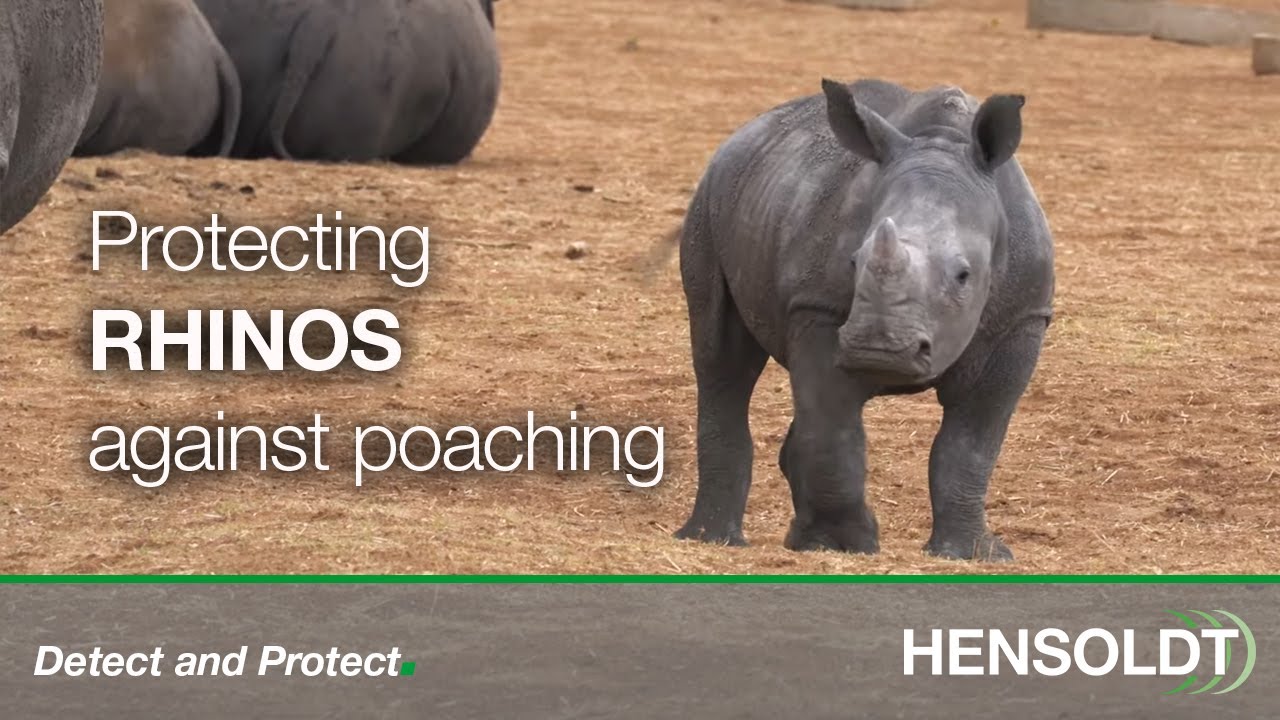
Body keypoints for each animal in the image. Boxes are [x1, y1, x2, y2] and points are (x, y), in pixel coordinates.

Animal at [673, 78, 1054, 561]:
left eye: (964, 275)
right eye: (855, 262)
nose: (880, 350)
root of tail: (747, 131)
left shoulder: (1021, 320)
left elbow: (970, 446)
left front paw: (972, 554)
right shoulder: (818, 308)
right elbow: (833, 432)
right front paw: (845, 546)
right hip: (710, 200)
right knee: (721, 362)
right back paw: (713, 539)